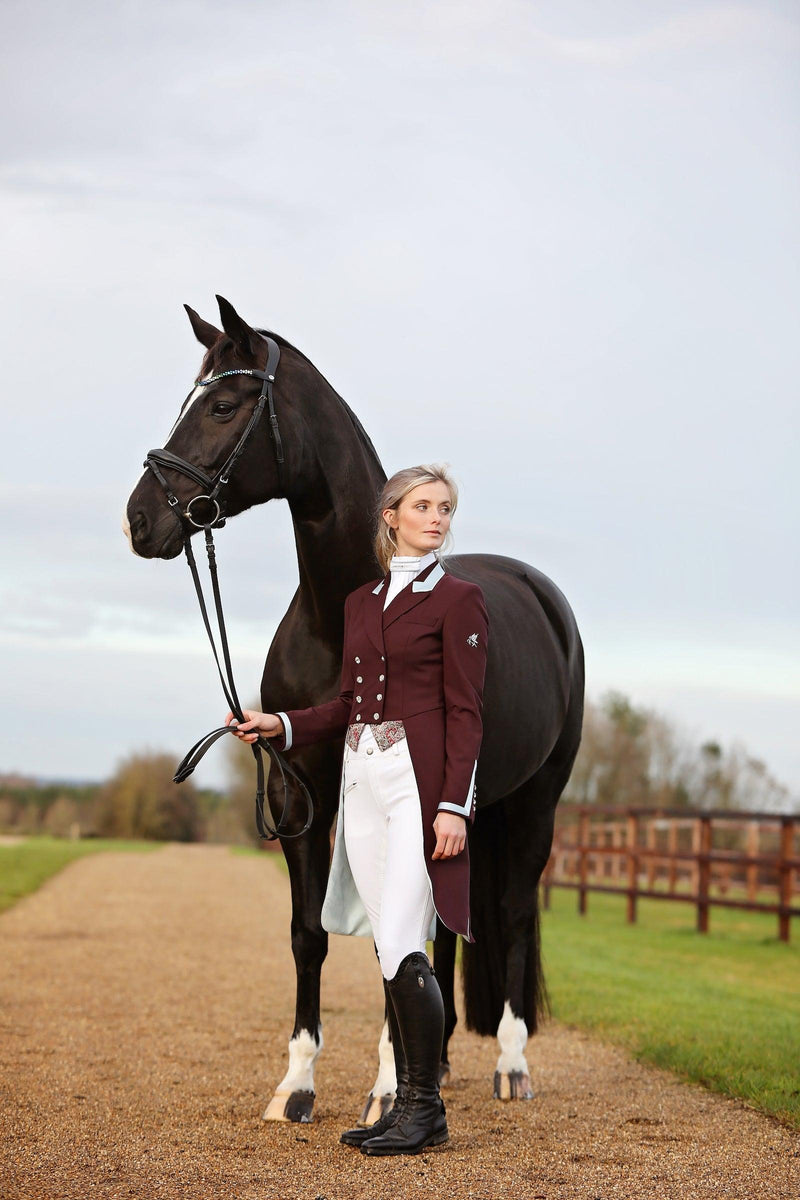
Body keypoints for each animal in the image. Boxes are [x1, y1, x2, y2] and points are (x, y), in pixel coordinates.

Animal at [126, 300, 587, 1123]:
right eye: (189, 400)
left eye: (222, 406)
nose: (141, 519)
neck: (347, 615)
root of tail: (544, 598)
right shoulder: (299, 791)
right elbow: (311, 934)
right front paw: (297, 1085)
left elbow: (389, 940)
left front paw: (384, 1088)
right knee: (451, 927)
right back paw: (438, 1059)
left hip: (536, 799)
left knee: (511, 913)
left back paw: (510, 1064)